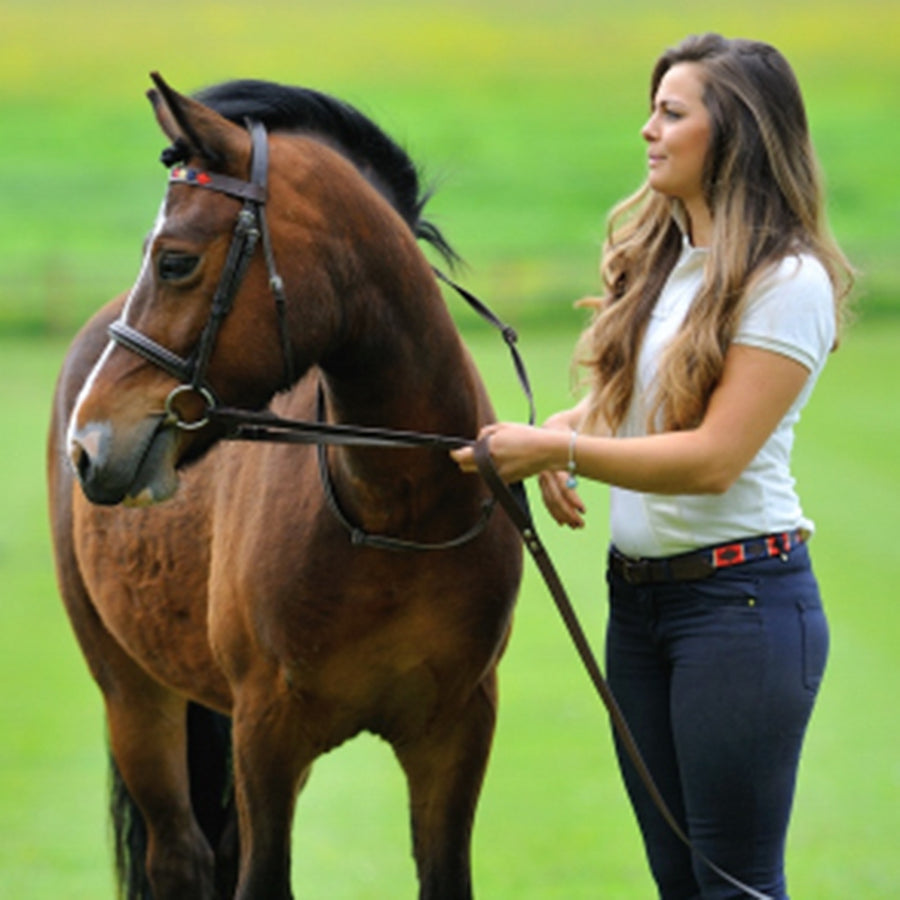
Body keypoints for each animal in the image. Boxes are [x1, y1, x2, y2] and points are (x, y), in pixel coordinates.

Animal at [49, 75, 524, 900]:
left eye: (174, 262)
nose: (89, 445)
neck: (395, 512)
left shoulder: (457, 730)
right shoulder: (266, 732)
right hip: (132, 694)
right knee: (179, 856)